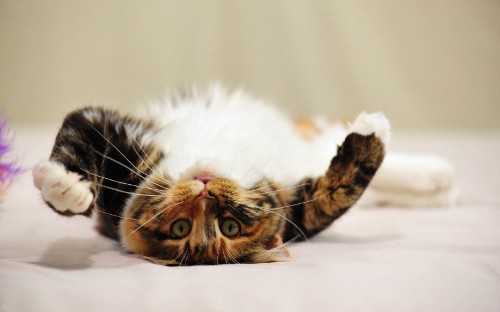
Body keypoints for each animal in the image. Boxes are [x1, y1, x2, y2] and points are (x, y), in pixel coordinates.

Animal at [31, 86, 458, 266]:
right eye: (181, 229)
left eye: (230, 227)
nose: (205, 192)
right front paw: (67, 190)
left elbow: (336, 191)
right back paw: (439, 183)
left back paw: (439, 178)